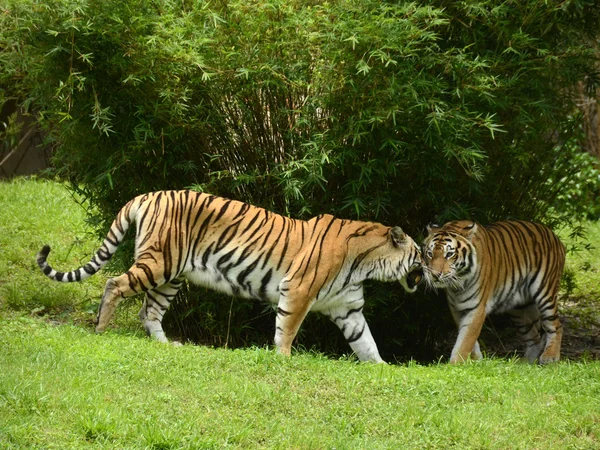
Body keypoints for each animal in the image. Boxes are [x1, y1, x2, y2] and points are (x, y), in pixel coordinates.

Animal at [36, 190, 422, 362]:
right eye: (420, 255)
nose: (429, 273)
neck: (367, 264)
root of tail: (148, 194)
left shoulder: (349, 309)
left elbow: (366, 341)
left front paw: (381, 367)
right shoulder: (297, 291)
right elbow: (287, 329)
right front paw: (283, 359)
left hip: (172, 276)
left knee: (150, 311)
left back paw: (166, 344)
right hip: (159, 262)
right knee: (114, 284)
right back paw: (101, 328)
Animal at [420, 220, 564, 364]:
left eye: (449, 254)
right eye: (430, 253)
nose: (434, 275)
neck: (458, 284)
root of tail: (554, 235)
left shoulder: (476, 308)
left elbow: (466, 338)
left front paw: (456, 363)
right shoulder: (457, 309)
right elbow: (466, 335)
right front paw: (476, 359)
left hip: (545, 293)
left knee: (556, 326)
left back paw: (550, 357)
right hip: (520, 309)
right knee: (535, 338)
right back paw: (524, 363)